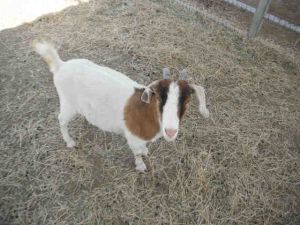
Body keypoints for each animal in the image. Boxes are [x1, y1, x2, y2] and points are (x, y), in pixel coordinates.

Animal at [33, 40, 209, 171]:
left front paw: (146, 151)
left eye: (187, 101)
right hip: (68, 103)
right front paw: (141, 166)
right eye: (159, 98)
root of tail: (60, 65)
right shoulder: (132, 138)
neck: (147, 113)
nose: (171, 131)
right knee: (61, 119)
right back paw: (70, 142)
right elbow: (136, 153)